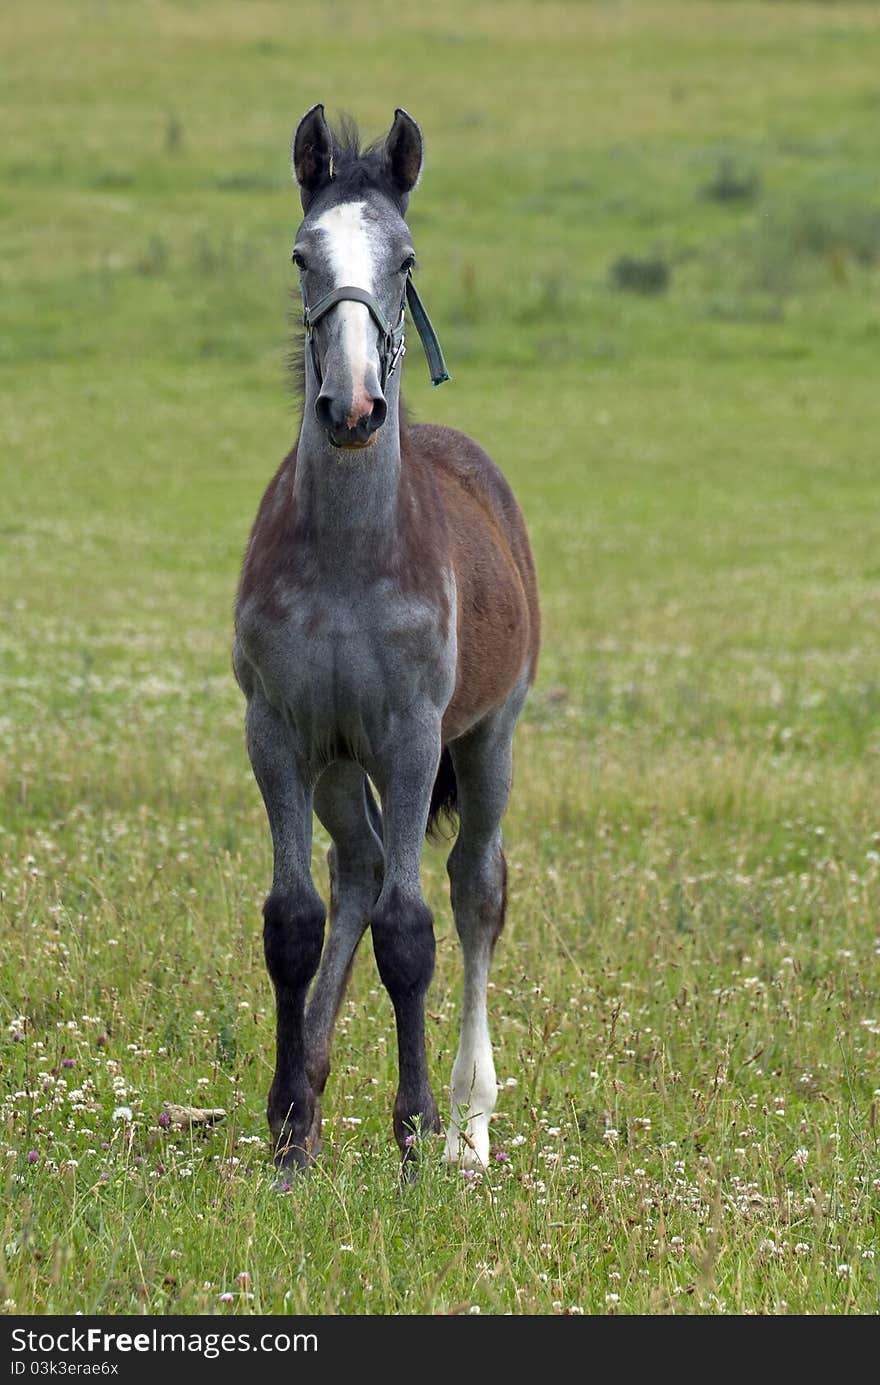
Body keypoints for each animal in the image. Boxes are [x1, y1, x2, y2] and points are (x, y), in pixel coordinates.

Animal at [232, 102, 537, 1174]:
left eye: (405, 259)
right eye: (301, 254)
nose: (355, 407)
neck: (349, 561)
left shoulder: (410, 735)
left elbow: (413, 929)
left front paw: (413, 1133)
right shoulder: (280, 731)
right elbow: (293, 920)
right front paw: (290, 1132)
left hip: (488, 738)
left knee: (473, 889)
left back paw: (470, 1129)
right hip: (336, 760)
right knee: (357, 867)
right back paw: (313, 1093)